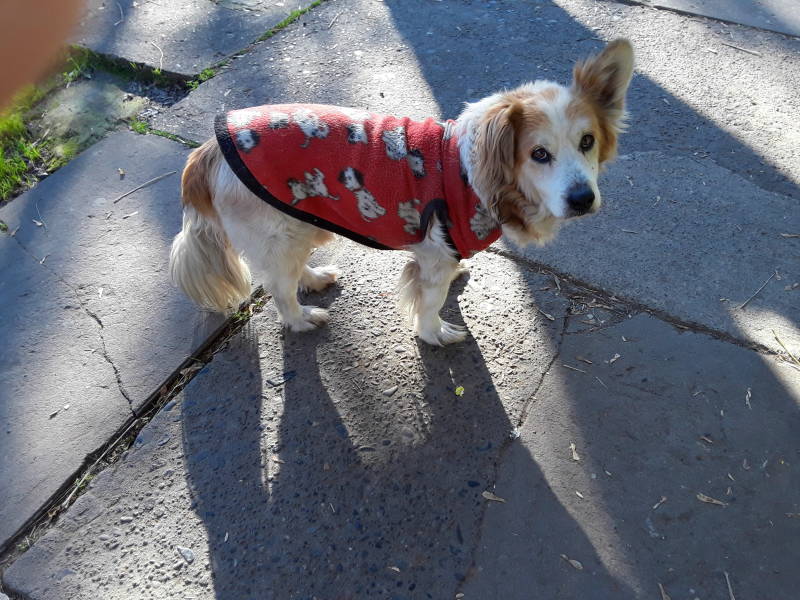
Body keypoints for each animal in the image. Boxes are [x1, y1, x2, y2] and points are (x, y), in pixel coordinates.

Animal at [170, 39, 636, 344]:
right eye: (539, 154)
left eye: (588, 142)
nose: (583, 199)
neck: (473, 174)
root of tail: (207, 151)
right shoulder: (434, 256)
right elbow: (431, 303)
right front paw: (435, 333)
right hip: (276, 235)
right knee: (279, 290)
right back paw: (302, 318)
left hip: (295, 224)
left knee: (285, 273)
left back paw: (315, 278)